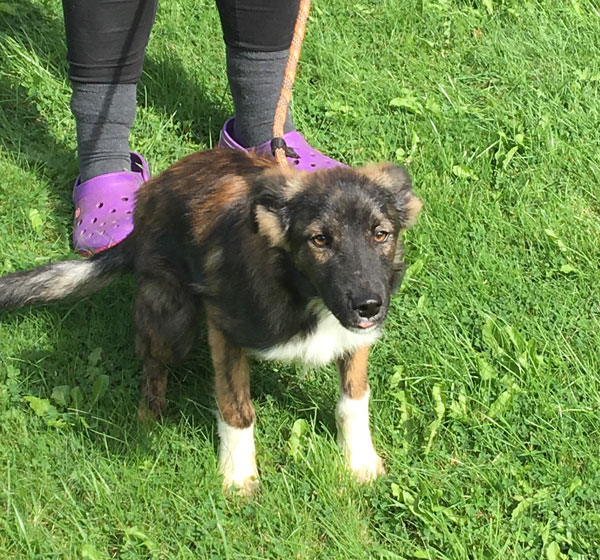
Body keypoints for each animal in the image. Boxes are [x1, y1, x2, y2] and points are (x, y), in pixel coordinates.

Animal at [0, 149, 422, 494]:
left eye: (381, 234)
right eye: (320, 240)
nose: (368, 306)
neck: (304, 293)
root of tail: (143, 204)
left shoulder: (356, 339)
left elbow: (354, 399)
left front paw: (360, 461)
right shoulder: (225, 329)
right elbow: (237, 408)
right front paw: (238, 476)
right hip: (173, 318)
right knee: (153, 365)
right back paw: (148, 419)